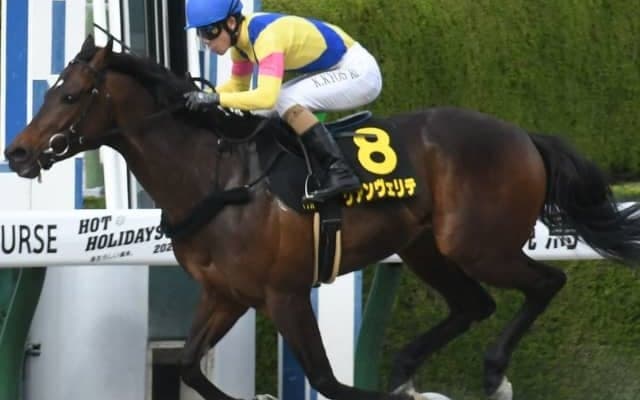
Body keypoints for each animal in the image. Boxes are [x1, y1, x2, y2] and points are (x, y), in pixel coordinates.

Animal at [5, 35, 640, 400]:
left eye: (70, 96)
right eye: (50, 90)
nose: (18, 152)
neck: (215, 176)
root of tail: (524, 135)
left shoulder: (284, 293)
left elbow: (327, 380)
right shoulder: (225, 294)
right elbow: (187, 366)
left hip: (478, 244)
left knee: (546, 282)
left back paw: (490, 369)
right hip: (425, 247)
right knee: (473, 304)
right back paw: (408, 368)